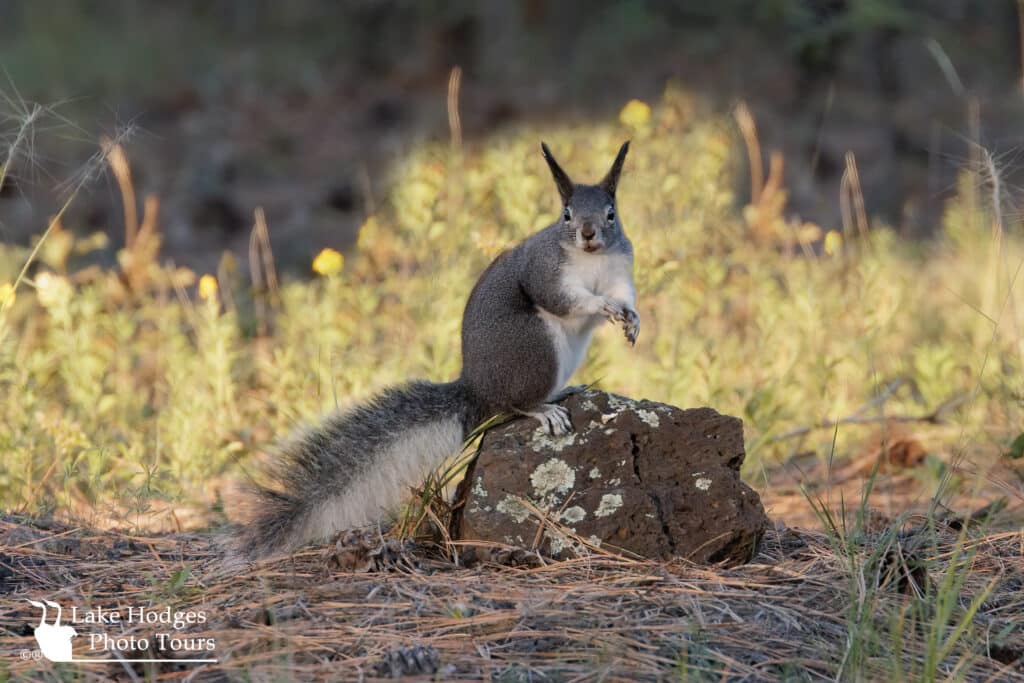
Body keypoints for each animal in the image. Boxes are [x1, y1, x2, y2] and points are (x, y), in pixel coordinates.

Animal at [234, 141, 638, 559]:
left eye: (611, 213)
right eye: (566, 214)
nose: (588, 234)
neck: (592, 260)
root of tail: (476, 391)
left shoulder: (619, 270)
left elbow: (624, 294)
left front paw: (632, 319)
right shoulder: (546, 273)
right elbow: (569, 299)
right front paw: (601, 306)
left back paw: (563, 391)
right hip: (534, 346)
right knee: (511, 405)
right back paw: (542, 408)